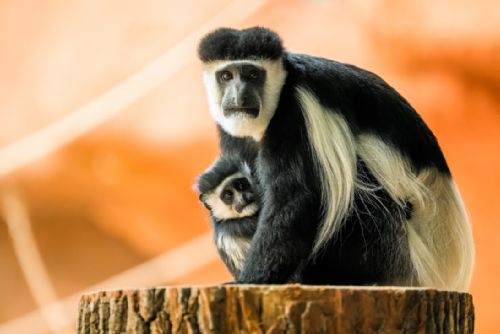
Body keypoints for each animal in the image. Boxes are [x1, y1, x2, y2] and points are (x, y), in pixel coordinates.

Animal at [197, 27, 474, 290]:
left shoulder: (296, 112)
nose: (239, 96)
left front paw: (251, 280)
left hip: (399, 251)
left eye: (253, 75)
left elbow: (296, 200)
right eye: (226, 76)